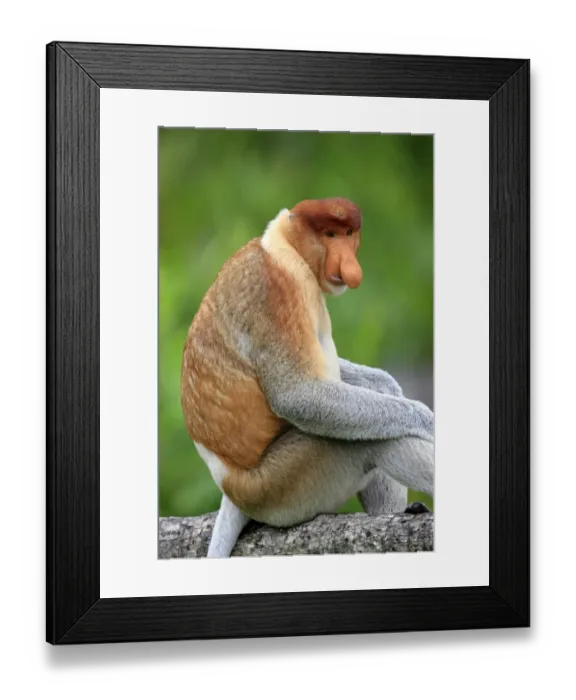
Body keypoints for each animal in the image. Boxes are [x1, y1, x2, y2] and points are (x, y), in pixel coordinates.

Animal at [181, 197, 434, 558]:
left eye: (349, 234)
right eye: (330, 235)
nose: (350, 266)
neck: (284, 246)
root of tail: (230, 487)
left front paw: (391, 387)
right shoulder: (278, 288)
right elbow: (298, 395)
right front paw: (427, 420)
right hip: (284, 484)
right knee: (376, 441)